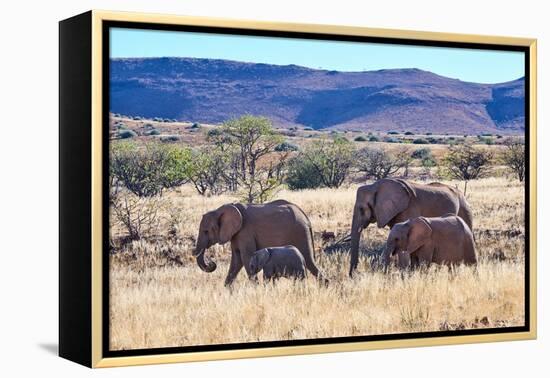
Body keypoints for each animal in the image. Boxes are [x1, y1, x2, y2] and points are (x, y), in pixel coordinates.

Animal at [193, 199, 328, 284]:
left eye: (206, 231)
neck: (219, 210)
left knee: (309, 260)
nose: (211, 263)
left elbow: (245, 258)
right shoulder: (236, 234)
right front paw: (228, 292)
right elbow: (236, 260)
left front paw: (256, 289)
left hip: (299, 232)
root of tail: (306, 217)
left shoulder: (245, 231)